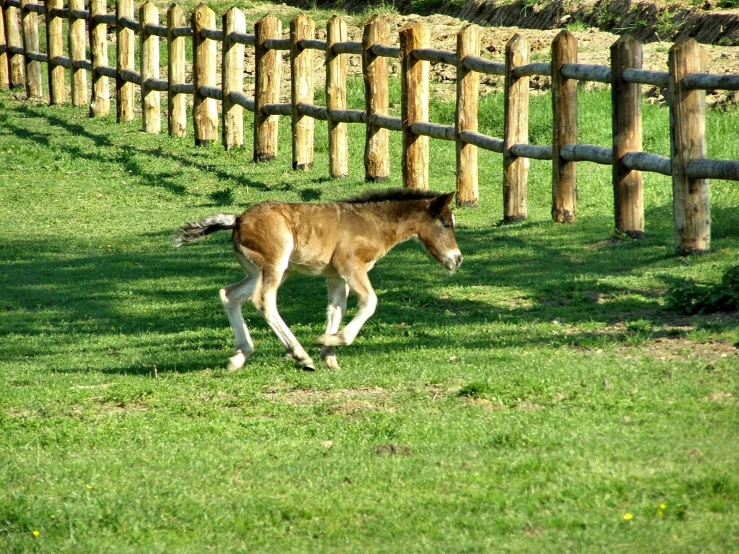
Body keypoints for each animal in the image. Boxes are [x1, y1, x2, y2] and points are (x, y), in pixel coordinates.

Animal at [176, 187, 462, 370]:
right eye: (446, 224)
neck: (373, 223)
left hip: (265, 271)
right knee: (264, 300)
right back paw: (301, 356)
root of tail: (237, 220)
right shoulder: (352, 267)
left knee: (230, 295)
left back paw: (239, 356)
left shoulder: (337, 277)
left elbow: (336, 309)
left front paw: (330, 357)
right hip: (274, 265)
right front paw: (327, 342)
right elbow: (370, 302)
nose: (457, 259)